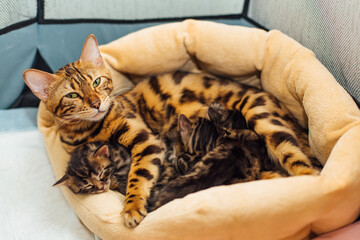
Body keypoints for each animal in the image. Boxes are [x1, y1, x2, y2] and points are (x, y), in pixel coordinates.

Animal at [23, 33, 322, 227]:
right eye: (72, 95)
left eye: (97, 82)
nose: (97, 104)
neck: (91, 131)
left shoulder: (146, 140)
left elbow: (139, 175)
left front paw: (132, 207)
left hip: (265, 120)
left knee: (306, 171)